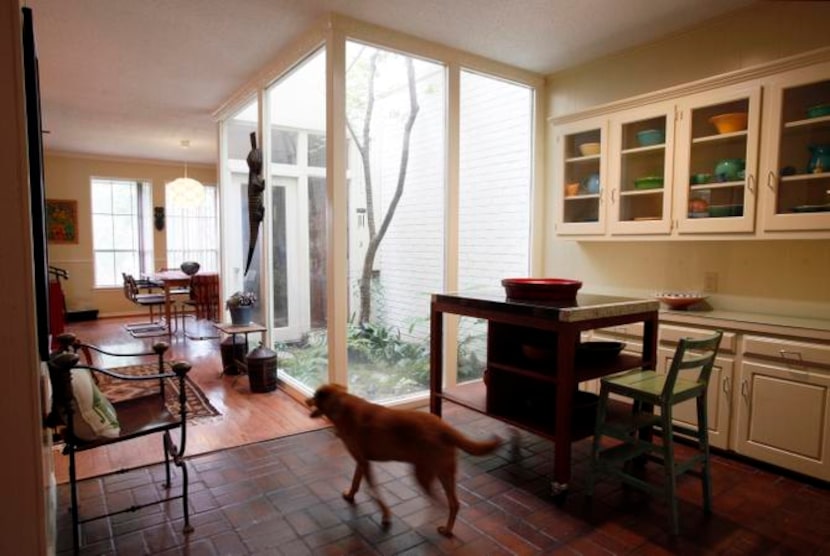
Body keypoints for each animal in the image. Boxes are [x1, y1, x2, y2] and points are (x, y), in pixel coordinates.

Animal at [306, 384, 500, 536]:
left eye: (315, 395)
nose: (307, 400)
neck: (342, 405)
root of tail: (444, 428)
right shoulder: (362, 462)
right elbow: (355, 481)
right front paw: (350, 496)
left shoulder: (364, 463)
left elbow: (375, 493)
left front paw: (385, 515)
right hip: (443, 473)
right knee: (454, 504)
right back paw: (447, 529)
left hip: (423, 473)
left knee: (442, 503)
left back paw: (442, 526)